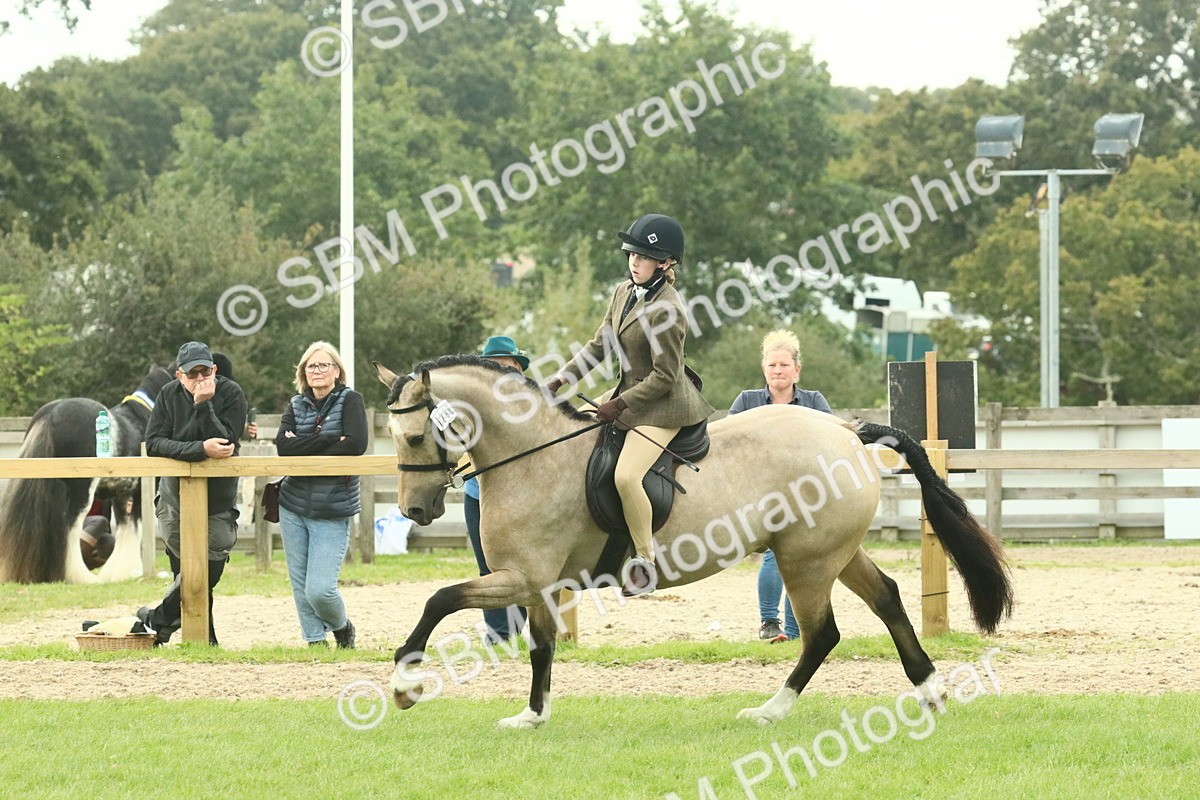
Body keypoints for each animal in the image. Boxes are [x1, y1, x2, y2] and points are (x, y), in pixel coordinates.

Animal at [0, 363, 174, 584]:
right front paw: (132, 571)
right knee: (71, 528)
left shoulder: (121, 493)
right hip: (82, 491)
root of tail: (52, 413)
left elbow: (125, 529)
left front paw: (116, 574)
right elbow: (135, 529)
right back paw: (80, 576)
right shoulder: (139, 493)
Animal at [373, 355, 1013, 728]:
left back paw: (770, 710)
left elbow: (439, 600)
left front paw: (405, 685)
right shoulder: (539, 584)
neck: (533, 456)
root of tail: (847, 431)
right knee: (886, 599)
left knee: (822, 634)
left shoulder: (523, 577)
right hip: (831, 552)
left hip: (804, 561)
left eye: (414, 435)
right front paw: (532, 716)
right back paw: (929, 690)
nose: (415, 510)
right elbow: (542, 646)